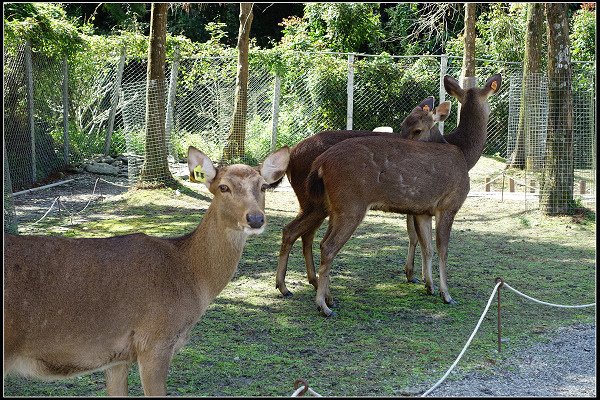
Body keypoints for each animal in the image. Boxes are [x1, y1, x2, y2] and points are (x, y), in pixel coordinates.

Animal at [4, 145, 290, 396]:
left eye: (263, 186)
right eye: (223, 187)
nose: (255, 219)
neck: (189, 274)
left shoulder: (116, 357)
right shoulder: (154, 341)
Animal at [276, 96, 450, 296]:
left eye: (416, 129)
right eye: (406, 127)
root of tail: (291, 156)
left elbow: (417, 237)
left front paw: (416, 276)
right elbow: (419, 238)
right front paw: (421, 279)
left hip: (318, 205)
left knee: (299, 232)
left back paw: (306, 283)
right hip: (316, 203)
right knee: (301, 233)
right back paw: (296, 286)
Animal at [308, 72, 500, 316]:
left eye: (416, 129)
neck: (464, 155)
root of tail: (321, 163)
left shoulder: (423, 210)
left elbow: (427, 246)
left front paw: (429, 285)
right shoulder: (448, 204)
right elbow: (443, 249)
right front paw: (446, 294)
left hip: (336, 207)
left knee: (320, 241)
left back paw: (329, 298)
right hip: (351, 204)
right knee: (328, 246)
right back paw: (323, 305)